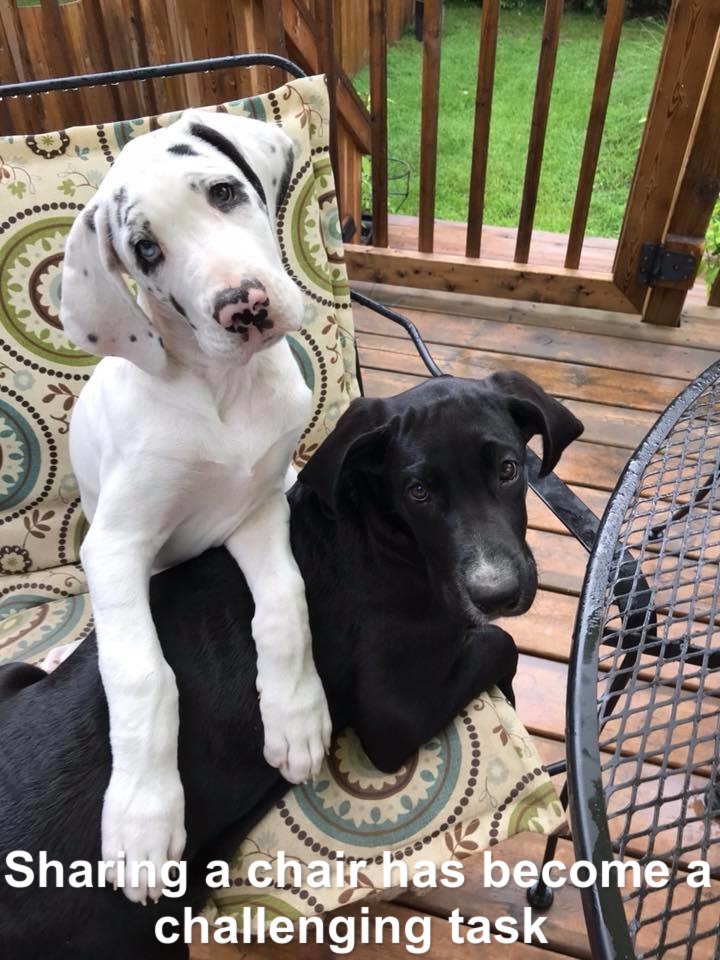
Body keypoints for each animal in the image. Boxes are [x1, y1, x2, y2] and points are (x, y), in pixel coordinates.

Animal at [0, 372, 580, 956]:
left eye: (508, 470)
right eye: (417, 492)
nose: (497, 593)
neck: (379, 528)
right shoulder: (392, 714)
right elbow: (500, 644)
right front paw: (506, 680)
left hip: (16, 674)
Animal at [59, 109, 332, 904]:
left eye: (223, 192)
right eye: (146, 251)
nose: (245, 307)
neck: (222, 391)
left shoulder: (257, 510)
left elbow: (285, 603)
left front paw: (296, 712)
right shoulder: (116, 548)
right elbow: (142, 674)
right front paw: (143, 817)